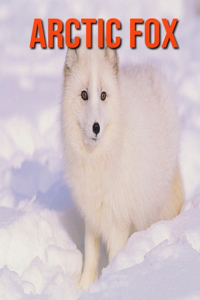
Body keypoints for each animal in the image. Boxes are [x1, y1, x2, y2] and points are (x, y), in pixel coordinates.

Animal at [61, 41, 184, 290]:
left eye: (103, 95)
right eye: (84, 94)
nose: (96, 127)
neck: (99, 157)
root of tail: (149, 70)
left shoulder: (118, 220)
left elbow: (116, 254)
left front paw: (114, 279)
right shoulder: (92, 214)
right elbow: (90, 256)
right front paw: (84, 287)